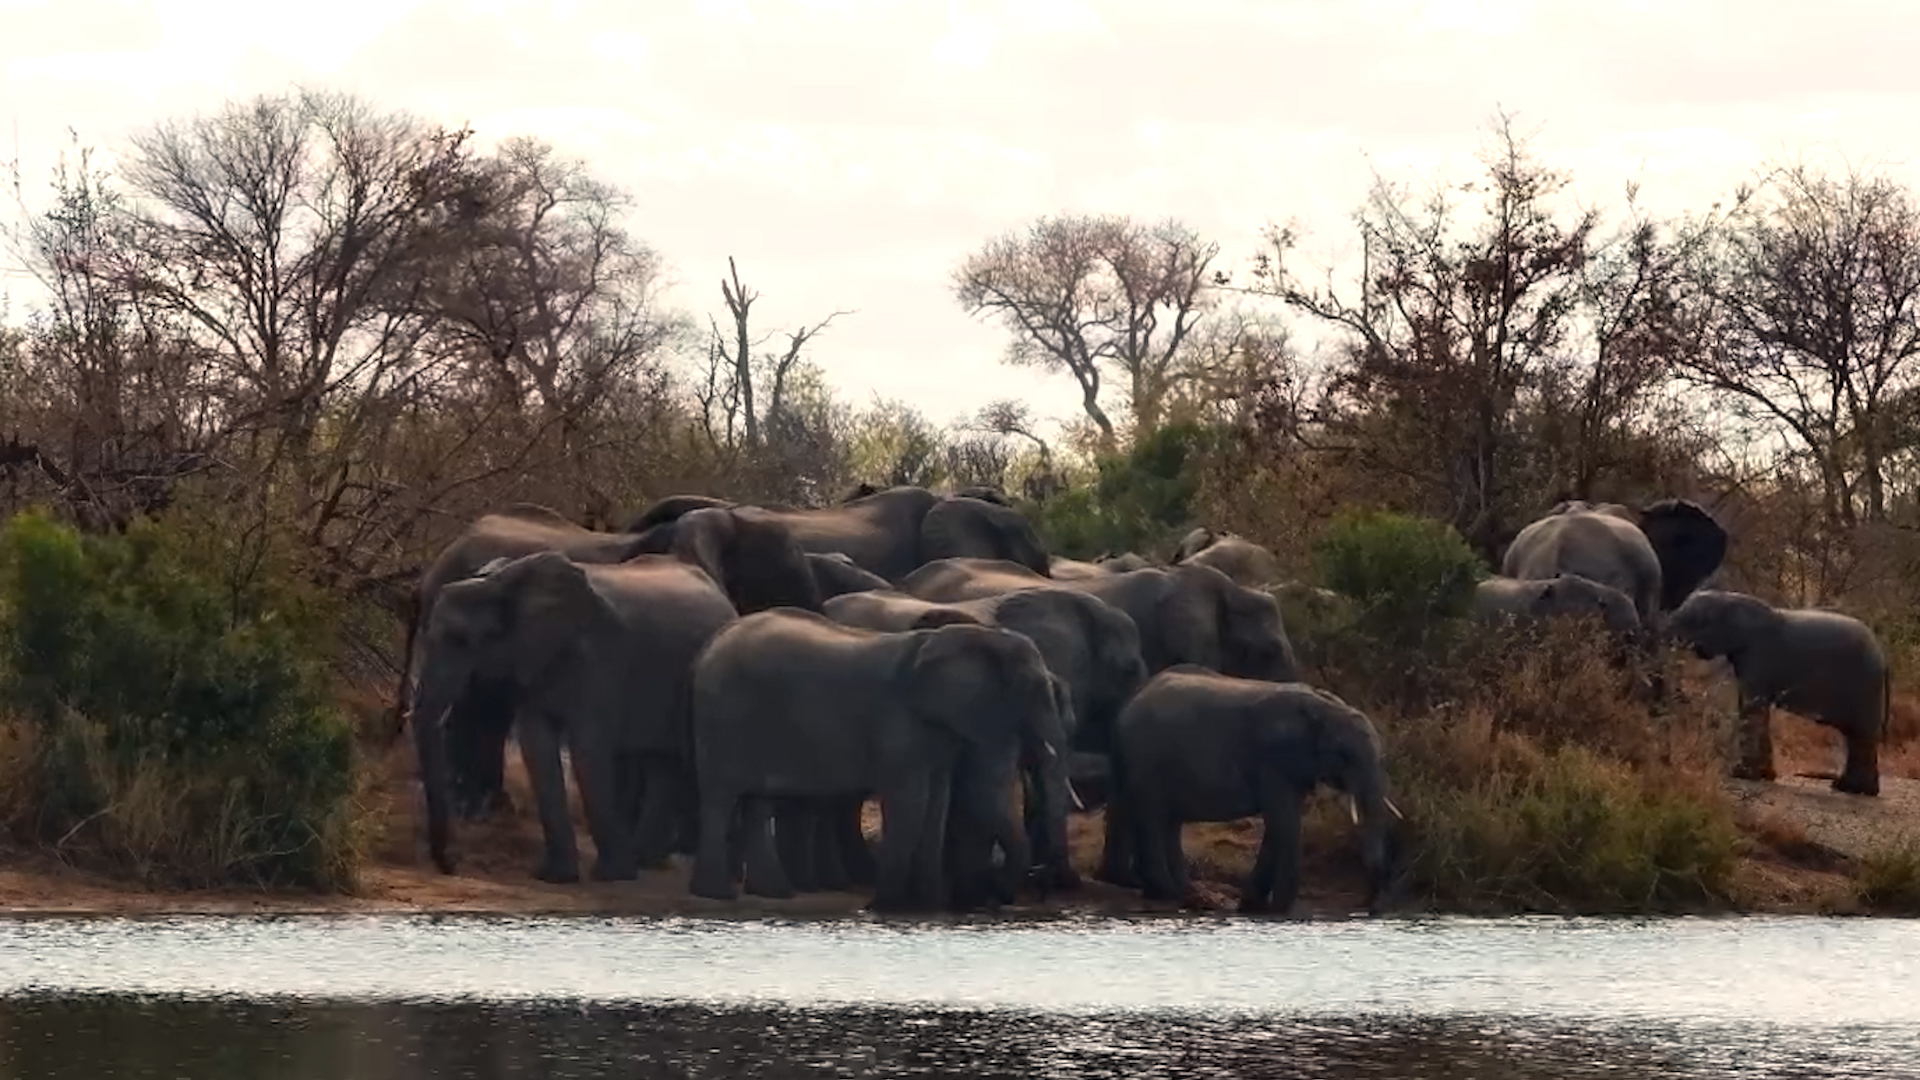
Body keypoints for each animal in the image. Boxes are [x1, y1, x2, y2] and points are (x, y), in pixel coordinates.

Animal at [409, 551, 738, 882]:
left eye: (460, 640)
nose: (452, 864)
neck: (501, 583)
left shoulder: (598, 658)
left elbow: (587, 748)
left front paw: (612, 875)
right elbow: (537, 747)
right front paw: (556, 876)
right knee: (661, 764)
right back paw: (645, 859)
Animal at [686, 608, 1072, 911]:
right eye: (1035, 690)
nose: (1006, 897)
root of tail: (712, 643)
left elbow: (937, 801)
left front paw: (928, 908)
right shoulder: (899, 721)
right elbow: (910, 801)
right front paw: (883, 909)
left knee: (757, 802)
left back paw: (773, 894)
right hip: (725, 716)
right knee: (721, 797)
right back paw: (716, 895)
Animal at [1110, 666, 1403, 914]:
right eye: (1344, 754)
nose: (1370, 906)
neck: (1325, 706)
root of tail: (1131, 700)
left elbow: (1280, 823)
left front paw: (1252, 905)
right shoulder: (1273, 759)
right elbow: (1284, 820)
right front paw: (1279, 910)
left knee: (1170, 822)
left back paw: (1185, 894)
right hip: (1146, 760)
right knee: (1154, 817)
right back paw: (1168, 894)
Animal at [1668, 590, 1889, 796]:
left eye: (1694, 620)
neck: (1732, 598)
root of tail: (1883, 659)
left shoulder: (1759, 656)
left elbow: (1752, 706)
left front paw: (1740, 774)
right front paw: (1763, 776)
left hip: (1864, 687)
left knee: (1861, 736)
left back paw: (1854, 789)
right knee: (1853, 736)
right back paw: (1847, 787)